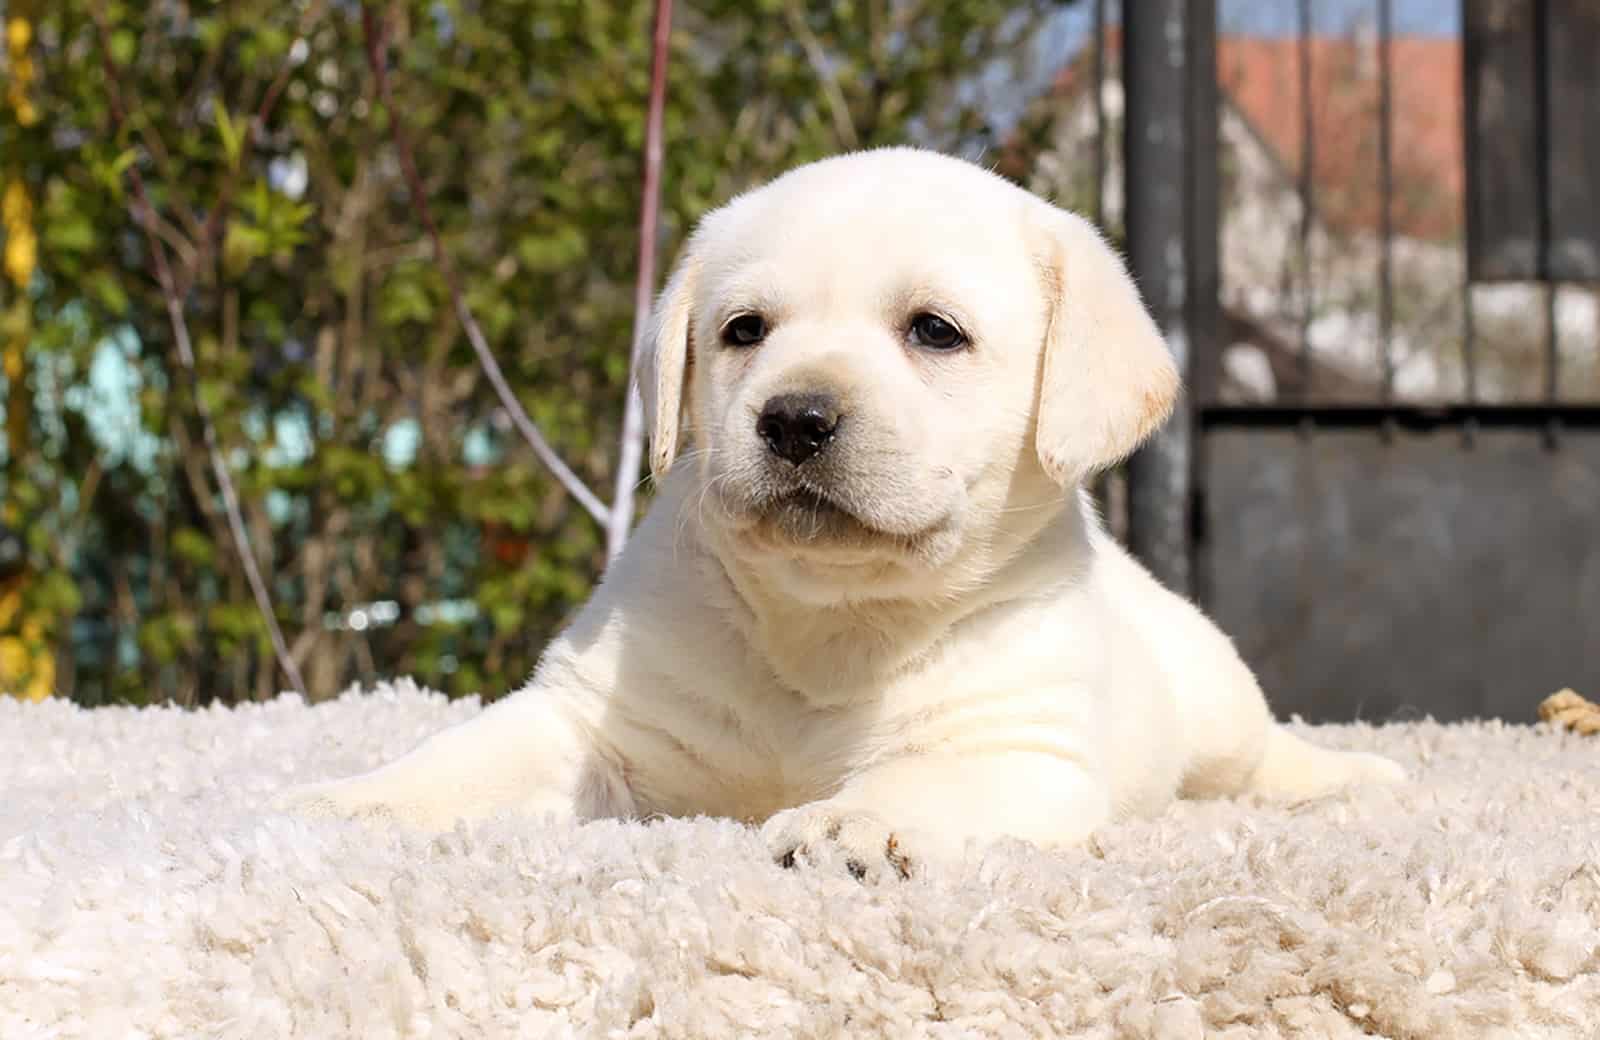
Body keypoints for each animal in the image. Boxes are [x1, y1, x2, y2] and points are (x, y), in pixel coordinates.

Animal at [281, 145, 1408, 876]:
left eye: (935, 331)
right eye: (743, 330)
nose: (794, 417)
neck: (833, 620)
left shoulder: (1022, 752)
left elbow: (921, 779)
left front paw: (849, 825)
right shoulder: (590, 721)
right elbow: (467, 758)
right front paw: (355, 799)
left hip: (1210, 690)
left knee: (1259, 756)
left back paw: (1354, 777)